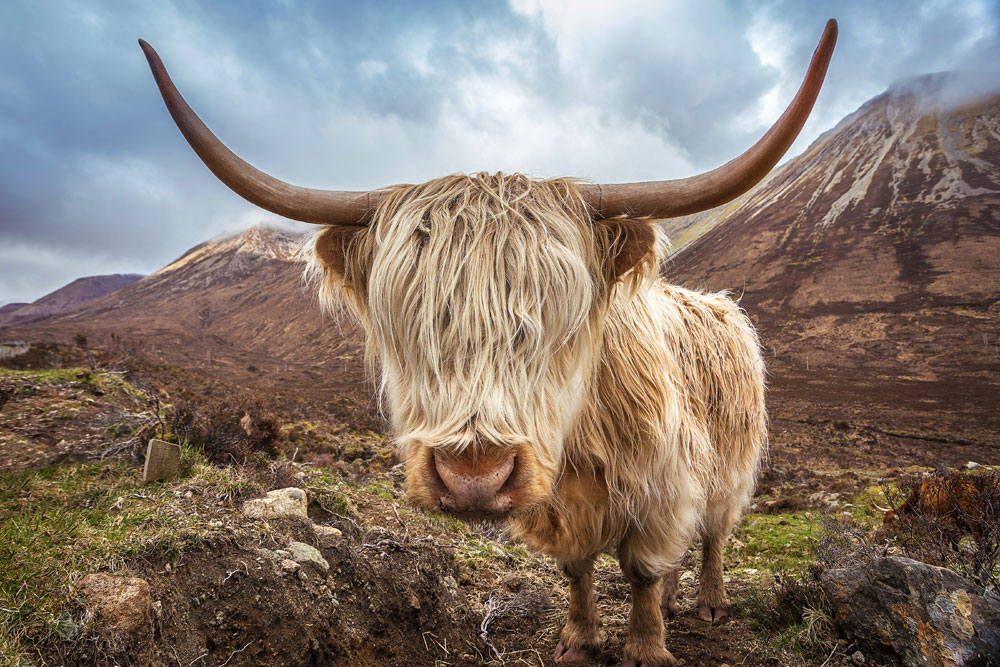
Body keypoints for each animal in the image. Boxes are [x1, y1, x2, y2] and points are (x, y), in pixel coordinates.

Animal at [143, 20, 836, 667]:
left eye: (561, 321)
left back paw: (712, 603)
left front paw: (645, 647)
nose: (474, 477)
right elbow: (577, 569)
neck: (580, 452)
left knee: (714, 532)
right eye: (409, 321)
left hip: (730, 464)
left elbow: (641, 570)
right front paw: (578, 640)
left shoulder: (662, 485)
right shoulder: (560, 510)